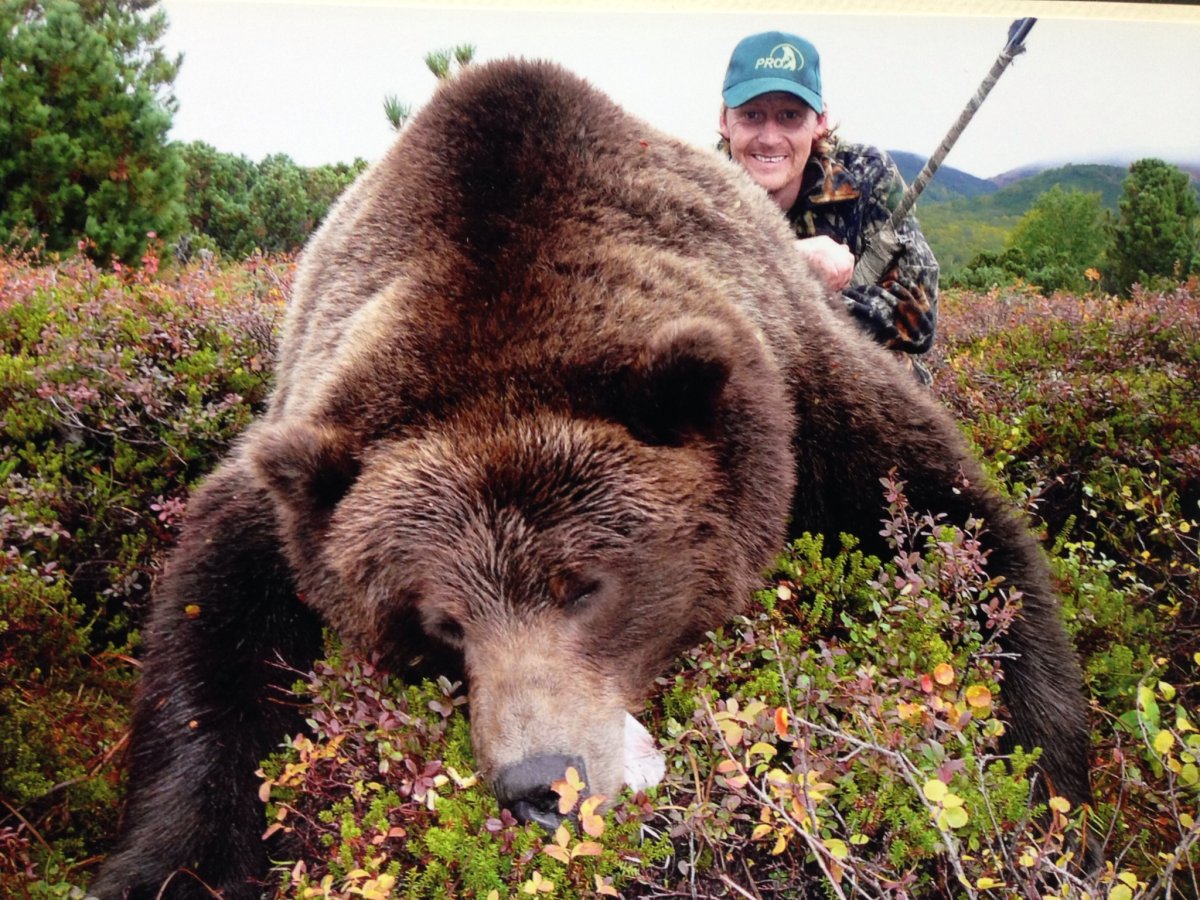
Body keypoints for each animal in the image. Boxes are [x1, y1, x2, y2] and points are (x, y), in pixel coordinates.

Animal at [92, 59, 1093, 898]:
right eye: (439, 622)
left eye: (585, 587)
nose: (540, 785)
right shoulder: (301, 474)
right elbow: (213, 629)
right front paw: (167, 866)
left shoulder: (804, 396)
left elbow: (960, 532)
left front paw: (1044, 804)